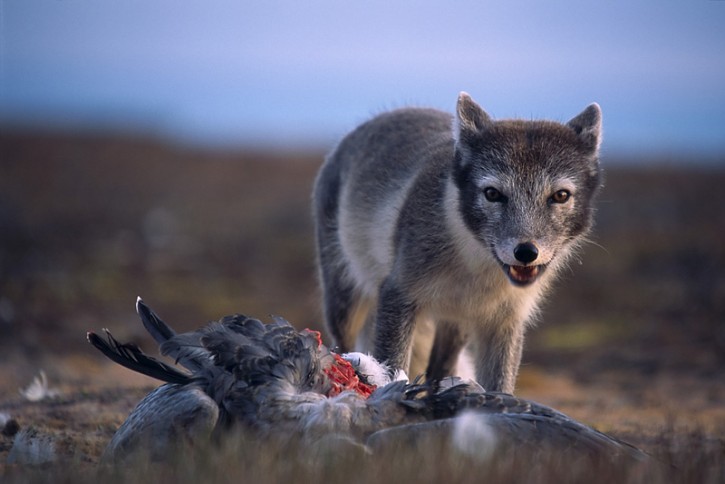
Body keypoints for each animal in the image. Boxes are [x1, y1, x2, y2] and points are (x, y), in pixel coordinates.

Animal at [312, 93, 600, 394]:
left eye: (560, 195)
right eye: (492, 193)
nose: (525, 252)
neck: (473, 264)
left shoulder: (505, 320)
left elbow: (500, 383)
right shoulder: (397, 293)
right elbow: (392, 365)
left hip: (455, 325)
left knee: (439, 369)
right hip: (344, 301)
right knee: (342, 345)